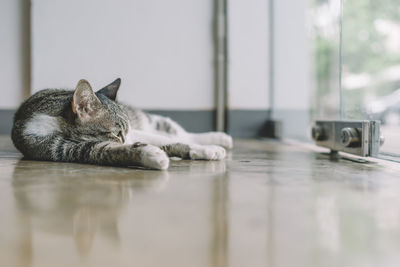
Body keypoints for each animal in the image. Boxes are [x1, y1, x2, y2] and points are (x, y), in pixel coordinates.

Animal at [10, 78, 233, 170]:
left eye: (122, 132)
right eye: (116, 133)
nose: (128, 139)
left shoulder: (136, 132)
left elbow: (171, 141)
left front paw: (207, 149)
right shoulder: (67, 148)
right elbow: (112, 151)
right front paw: (150, 154)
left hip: (149, 122)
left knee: (177, 132)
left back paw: (219, 138)